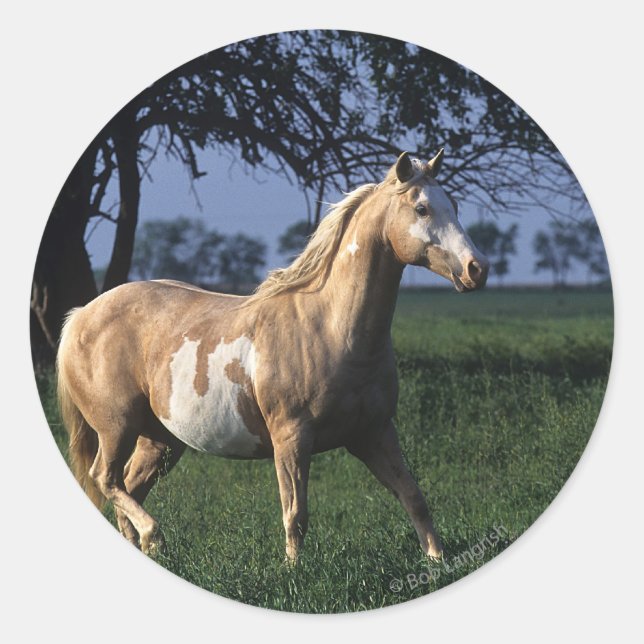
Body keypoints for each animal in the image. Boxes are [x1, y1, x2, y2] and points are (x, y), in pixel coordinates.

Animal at [57, 149, 488, 562]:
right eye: (422, 208)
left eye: (453, 204)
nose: (477, 269)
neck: (331, 329)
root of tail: (81, 317)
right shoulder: (291, 438)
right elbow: (295, 513)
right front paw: (293, 571)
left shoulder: (374, 433)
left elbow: (414, 497)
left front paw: (437, 562)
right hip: (117, 427)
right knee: (106, 478)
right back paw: (154, 535)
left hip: (159, 440)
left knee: (128, 486)